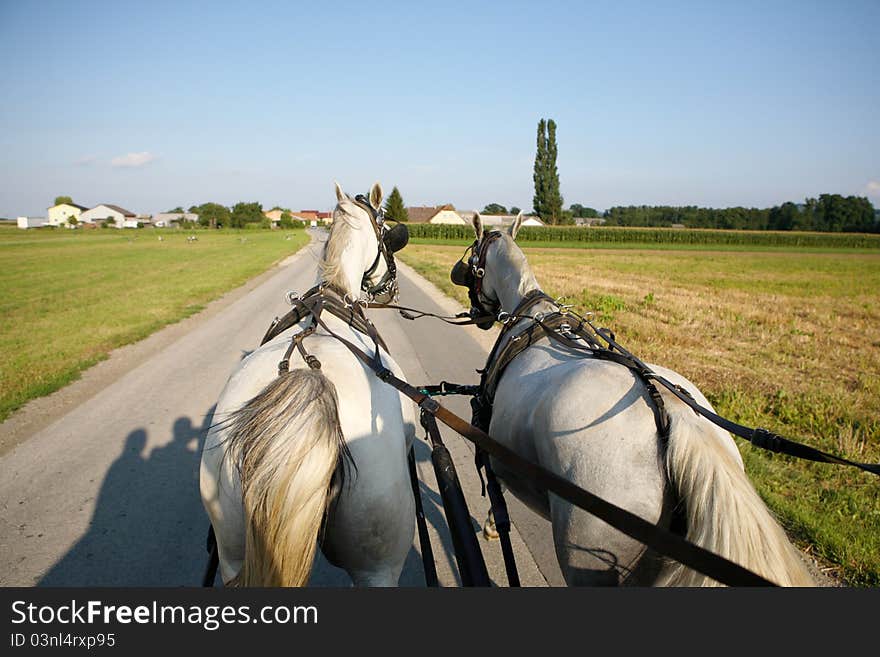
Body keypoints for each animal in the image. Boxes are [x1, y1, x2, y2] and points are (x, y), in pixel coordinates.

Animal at [201, 182, 418, 588]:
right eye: (387, 232)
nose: (393, 292)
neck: (335, 294)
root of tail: (311, 377)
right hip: (378, 565)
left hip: (231, 549)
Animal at [454, 218, 812, 588]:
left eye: (472, 256)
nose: (478, 313)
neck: (531, 314)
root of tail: (673, 414)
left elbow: (497, 491)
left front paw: (492, 526)